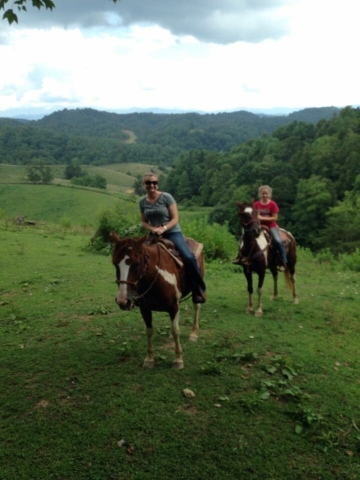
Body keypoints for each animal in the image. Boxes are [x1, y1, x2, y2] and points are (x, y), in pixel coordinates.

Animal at [111, 232, 204, 372]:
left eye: (136, 264)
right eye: (115, 264)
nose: (123, 301)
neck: (156, 276)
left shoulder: (173, 306)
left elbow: (176, 330)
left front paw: (178, 360)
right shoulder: (145, 308)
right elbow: (149, 331)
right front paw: (149, 359)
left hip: (196, 289)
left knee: (196, 307)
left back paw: (194, 334)